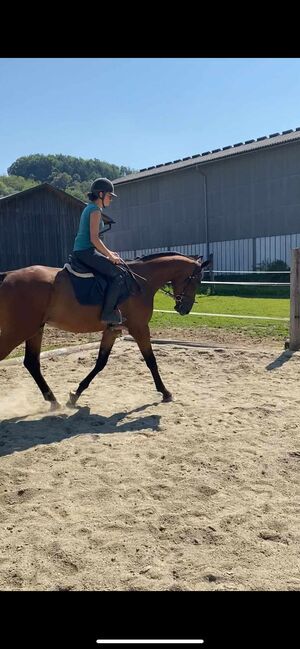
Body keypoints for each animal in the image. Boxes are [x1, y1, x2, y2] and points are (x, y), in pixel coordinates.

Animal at [0, 254, 209, 410]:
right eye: (196, 280)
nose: (185, 309)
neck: (141, 282)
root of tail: (8, 275)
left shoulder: (112, 330)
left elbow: (101, 362)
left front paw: (75, 395)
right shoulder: (140, 328)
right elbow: (151, 361)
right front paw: (165, 392)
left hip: (35, 330)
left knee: (32, 363)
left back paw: (53, 401)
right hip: (19, 330)